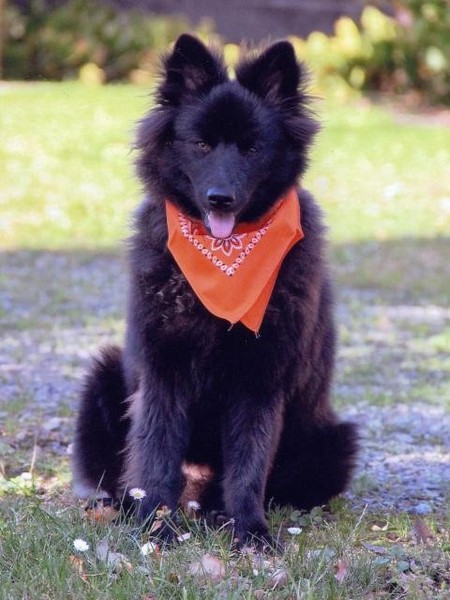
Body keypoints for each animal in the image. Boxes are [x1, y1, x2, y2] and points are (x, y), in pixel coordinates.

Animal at [72, 34, 358, 548]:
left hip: (333, 441)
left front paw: (250, 533)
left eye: (251, 148)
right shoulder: (163, 372)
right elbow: (157, 453)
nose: (219, 198)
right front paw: (155, 527)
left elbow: (248, 465)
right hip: (104, 378)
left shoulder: (259, 378)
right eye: (201, 145)